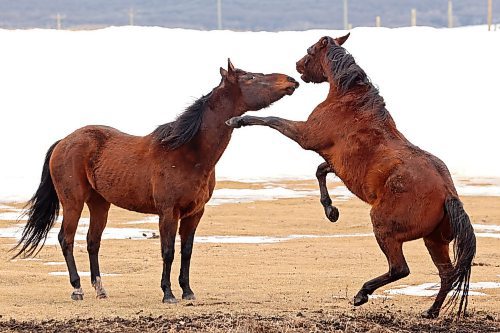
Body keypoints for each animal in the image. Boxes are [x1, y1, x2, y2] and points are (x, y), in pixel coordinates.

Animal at [13, 58, 298, 302]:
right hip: (73, 202)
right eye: (251, 77)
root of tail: (64, 141)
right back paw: (77, 289)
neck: (187, 151)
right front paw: (168, 293)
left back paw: (100, 289)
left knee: (93, 242)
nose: (291, 80)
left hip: (100, 204)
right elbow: (168, 251)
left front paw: (187, 291)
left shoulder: (195, 213)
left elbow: (186, 252)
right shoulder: (168, 212)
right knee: (67, 239)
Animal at [228, 35, 476, 318]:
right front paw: (331, 211)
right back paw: (431, 311)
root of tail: (448, 193)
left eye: (309, 51)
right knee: (446, 274)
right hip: (434, 240)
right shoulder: (337, 164)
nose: (298, 67)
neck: (348, 101)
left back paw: (362, 294)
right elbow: (320, 170)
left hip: (385, 227)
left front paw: (237, 120)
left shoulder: (305, 136)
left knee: (400, 268)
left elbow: (272, 119)